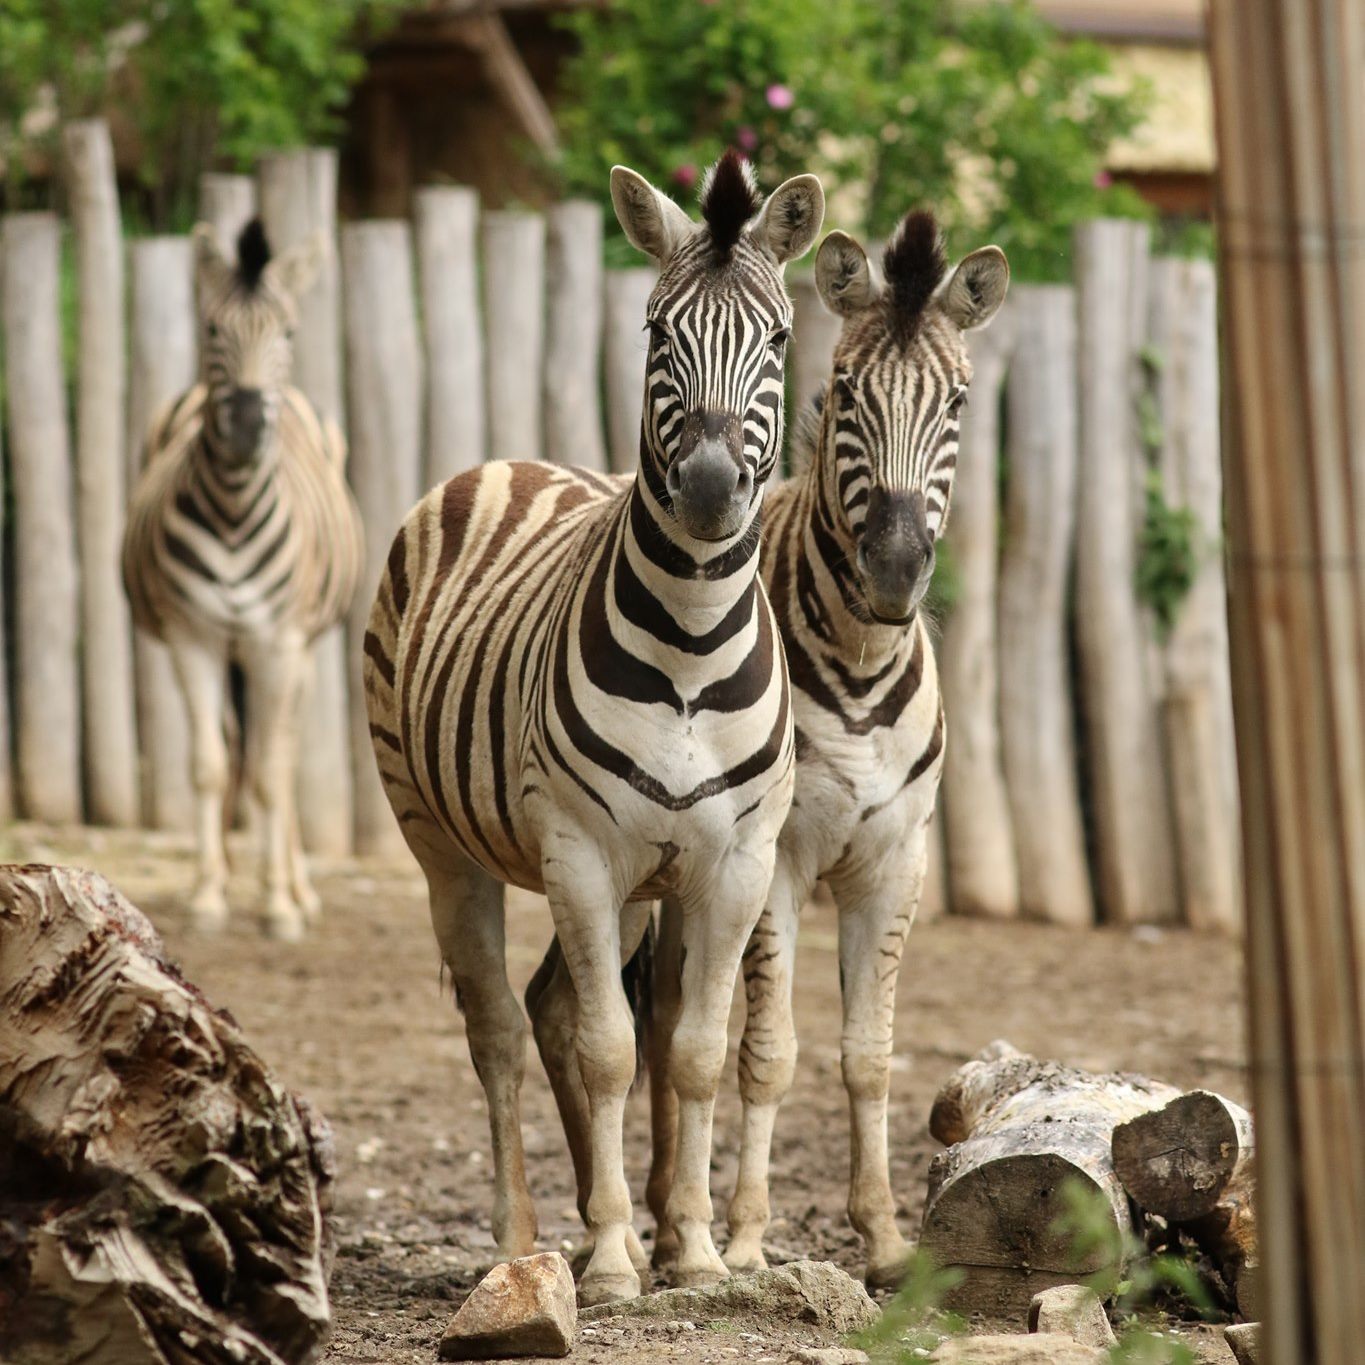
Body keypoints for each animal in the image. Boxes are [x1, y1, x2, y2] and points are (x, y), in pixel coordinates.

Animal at [123, 221, 363, 939]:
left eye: (287, 332)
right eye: (211, 329)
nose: (248, 424)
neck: (231, 509)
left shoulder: (276, 644)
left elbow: (271, 775)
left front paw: (279, 904)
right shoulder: (193, 638)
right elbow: (208, 766)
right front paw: (208, 894)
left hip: (299, 648)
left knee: (280, 751)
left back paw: (296, 886)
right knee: (238, 746)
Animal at [360, 154, 819, 1304]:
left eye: (777, 338)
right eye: (657, 332)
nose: (707, 489)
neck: (691, 642)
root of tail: (510, 462)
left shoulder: (734, 862)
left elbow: (692, 1048)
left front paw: (691, 1250)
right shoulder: (576, 849)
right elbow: (613, 1048)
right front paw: (613, 1260)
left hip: (644, 880)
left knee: (559, 1006)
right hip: (442, 843)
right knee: (499, 1026)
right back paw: (524, 1239)